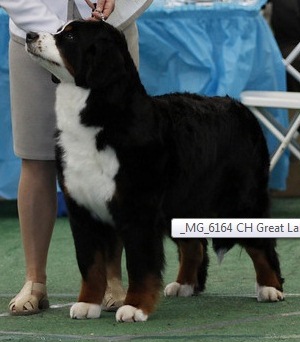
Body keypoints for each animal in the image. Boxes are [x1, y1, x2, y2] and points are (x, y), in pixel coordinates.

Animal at [25, 20, 284, 322]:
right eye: (59, 29)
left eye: (70, 37)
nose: (29, 35)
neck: (100, 117)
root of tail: (243, 109)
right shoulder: (82, 210)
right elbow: (90, 264)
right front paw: (88, 303)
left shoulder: (138, 209)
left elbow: (140, 265)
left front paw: (134, 307)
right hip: (182, 201)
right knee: (194, 245)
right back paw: (184, 284)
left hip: (242, 199)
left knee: (261, 245)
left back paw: (270, 288)